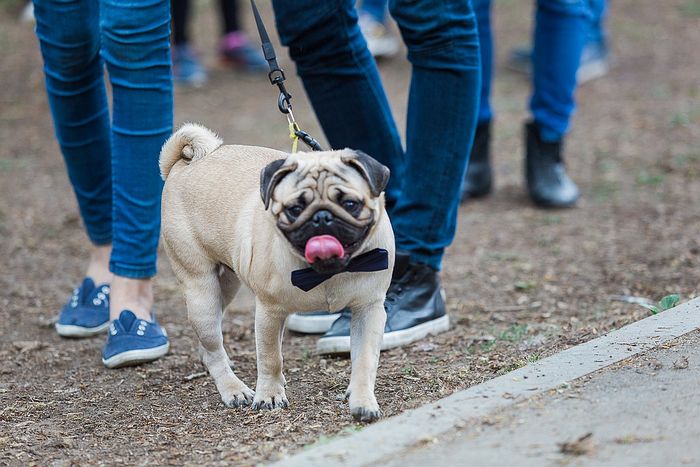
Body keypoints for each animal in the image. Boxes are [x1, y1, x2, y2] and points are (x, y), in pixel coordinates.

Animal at [161, 124, 396, 424]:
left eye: (351, 204)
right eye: (295, 209)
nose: (322, 217)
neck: (325, 271)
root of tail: (181, 164)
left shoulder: (369, 308)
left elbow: (365, 360)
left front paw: (363, 400)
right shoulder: (269, 311)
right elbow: (271, 357)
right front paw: (269, 395)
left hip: (226, 284)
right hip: (201, 291)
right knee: (213, 345)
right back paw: (234, 389)